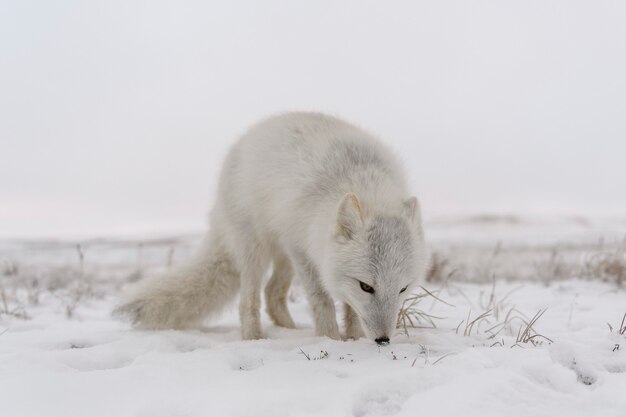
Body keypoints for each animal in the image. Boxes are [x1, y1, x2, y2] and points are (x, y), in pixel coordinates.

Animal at [112, 112, 426, 342]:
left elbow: (349, 308)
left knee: (273, 294)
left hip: (283, 256)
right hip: (257, 251)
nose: (383, 340)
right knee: (249, 300)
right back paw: (254, 339)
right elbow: (322, 300)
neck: (360, 182)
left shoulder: (322, 259)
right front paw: (330, 340)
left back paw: (289, 331)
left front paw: (355, 337)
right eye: (366, 286)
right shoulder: (303, 250)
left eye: (403, 289)